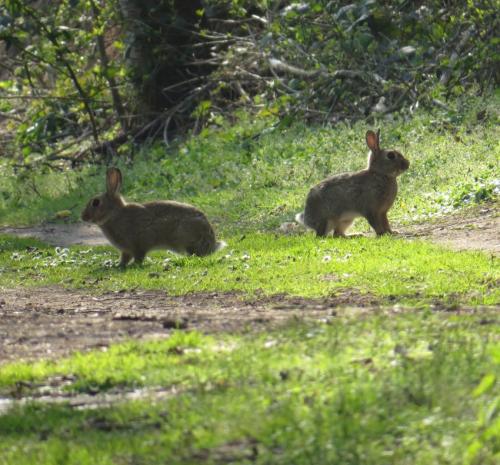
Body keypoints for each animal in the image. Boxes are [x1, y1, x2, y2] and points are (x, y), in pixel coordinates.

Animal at [81, 169, 226, 266]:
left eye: (96, 202)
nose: (83, 217)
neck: (114, 214)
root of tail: (212, 243)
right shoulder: (126, 250)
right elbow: (125, 258)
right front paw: (119, 266)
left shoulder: (138, 243)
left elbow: (139, 256)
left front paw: (132, 265)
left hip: (185, 237)